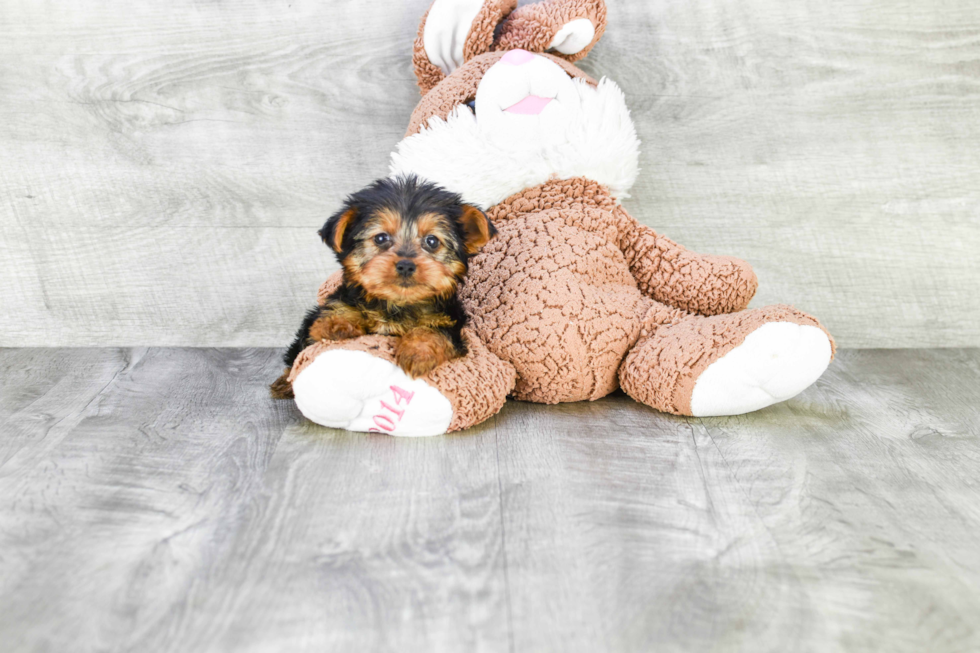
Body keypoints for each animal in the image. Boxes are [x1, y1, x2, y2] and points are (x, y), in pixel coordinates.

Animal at [270, 174, 494, 398]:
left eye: (432, 241)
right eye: (380, 238)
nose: (405, 265)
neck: (397, 304)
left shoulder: (451, 322)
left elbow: (435, 331)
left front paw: (418, 352)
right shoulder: (339, 300)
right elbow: (336, 309)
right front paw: (336, 324)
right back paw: (284, 383)